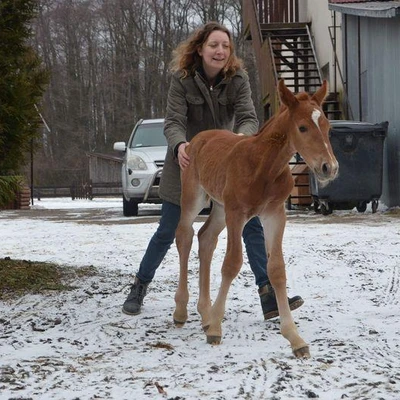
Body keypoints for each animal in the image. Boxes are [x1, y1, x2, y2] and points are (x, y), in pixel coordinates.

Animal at [174, 79, 338, 358]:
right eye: (302, 127)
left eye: (327, 127)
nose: (330, 168)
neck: (264, 166)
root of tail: (199, 137)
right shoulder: (237, 213)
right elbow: (231, 264)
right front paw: (216, 329)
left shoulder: (274, 214)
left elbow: (277, 269)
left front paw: (295, 338)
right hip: (195, 197)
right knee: (184, 236)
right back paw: (182, 311)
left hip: (219, 207)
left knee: (206, 238)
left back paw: (205, 313)